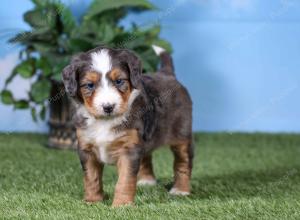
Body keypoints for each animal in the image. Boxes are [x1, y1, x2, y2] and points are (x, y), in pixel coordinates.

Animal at [62, 44, 193, 206]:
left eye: (119, 81)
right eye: (90, 85)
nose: (108, 107)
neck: (105, 121)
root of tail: (167, 73)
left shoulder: (129, 148)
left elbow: (125, 179)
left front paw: (122, 205)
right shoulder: (86, 147)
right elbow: (91, 177)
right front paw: (92, 201)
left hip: (182, 134)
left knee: (183, 162)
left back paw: (180, 190)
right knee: (146, 155)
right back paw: (147, 181)